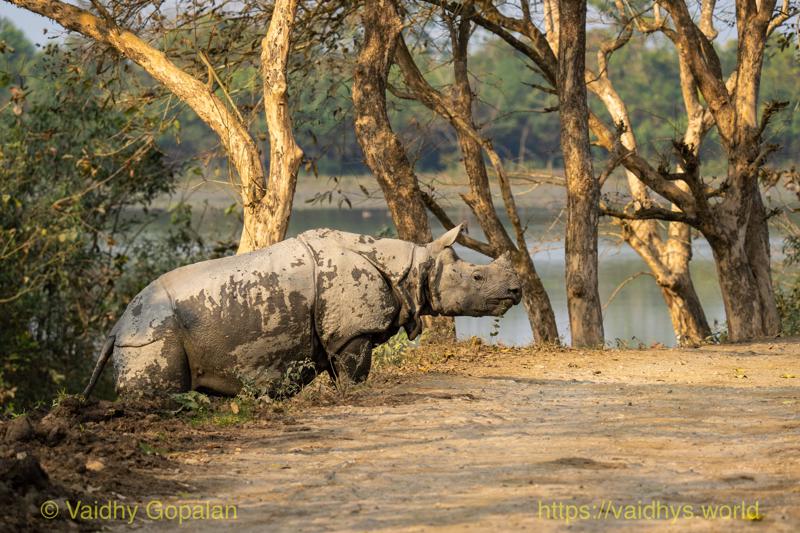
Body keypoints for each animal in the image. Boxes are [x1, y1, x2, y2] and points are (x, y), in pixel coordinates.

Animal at [82, 224, 521, 399]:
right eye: (477, 278)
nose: (516, 291)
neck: (413, 267)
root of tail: (118, 325)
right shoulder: (352, 334)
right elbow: (354, 373)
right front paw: (353, 396)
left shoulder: (336, 334)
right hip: (152, 333)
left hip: (147, 330)